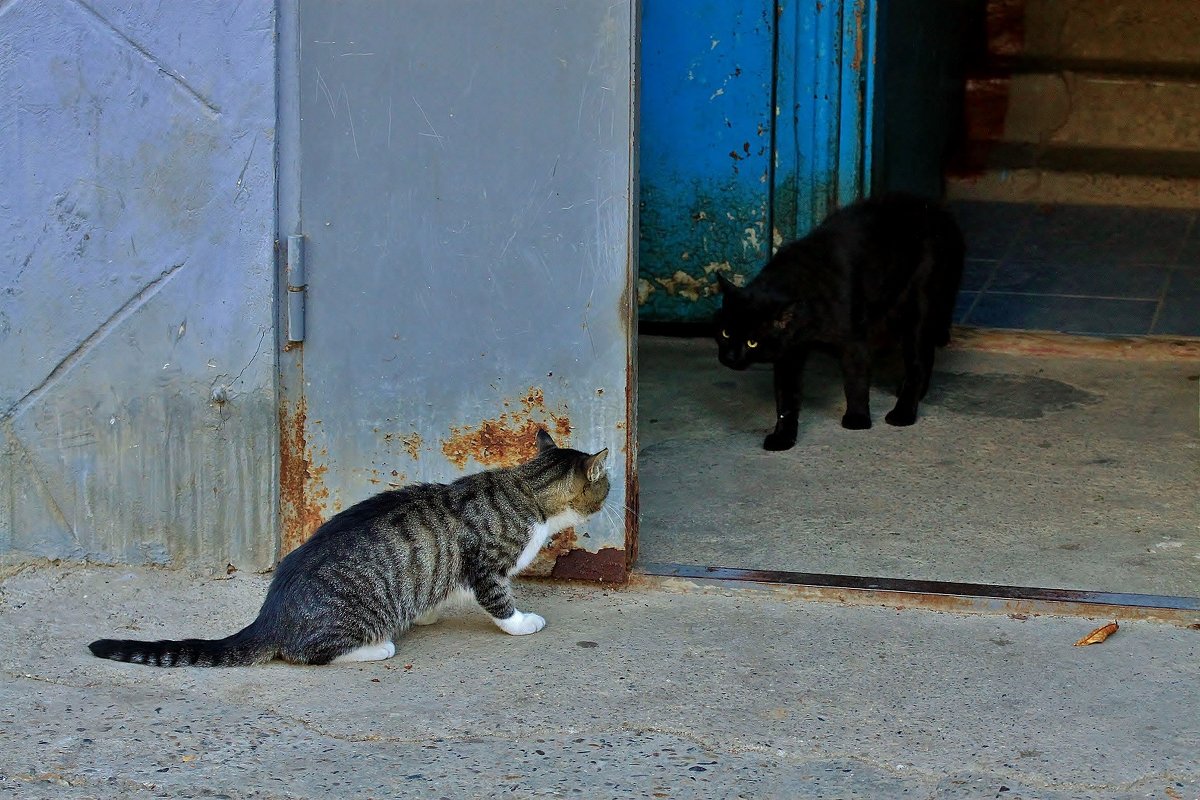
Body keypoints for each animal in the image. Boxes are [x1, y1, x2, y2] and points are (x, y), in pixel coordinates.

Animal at [87, 431, 609, 671]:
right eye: (603, 489)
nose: (609, 499)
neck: (526, 488)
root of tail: (269, 618)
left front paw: (428, 611)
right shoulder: (487, 567)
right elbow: (499, 603)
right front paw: (522, 623)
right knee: (312, 654)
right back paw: (377, 647)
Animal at [710, 190, 964, 448]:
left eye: (752, 342)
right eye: (725, 333)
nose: (730, 357)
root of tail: (936, 209)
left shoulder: (853, 342)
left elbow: (855, 381)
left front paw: (858, 419)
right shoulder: (789, 353)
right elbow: (786, 399)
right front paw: (783, 437)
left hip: (917, 309)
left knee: (918, 362)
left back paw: (903, 413)